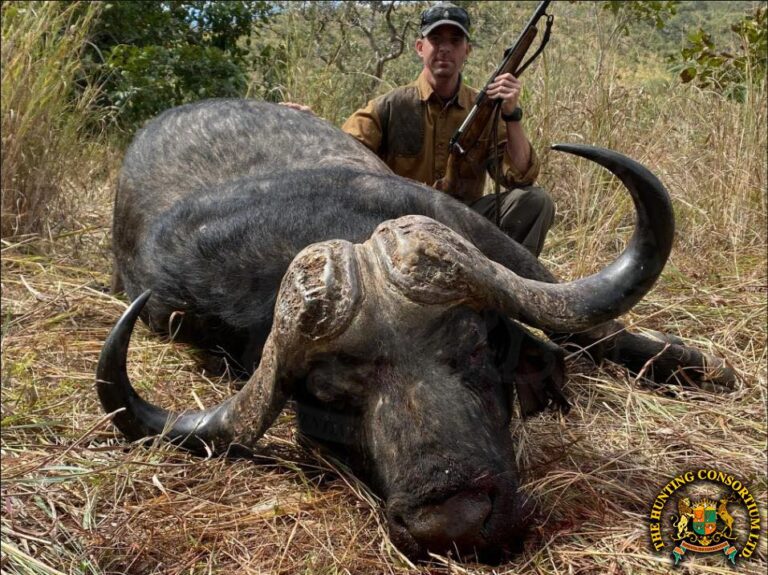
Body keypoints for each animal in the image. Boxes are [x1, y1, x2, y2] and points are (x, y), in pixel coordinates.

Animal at [97, 98, 733, 562]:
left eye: (474, 347)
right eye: (331, 394)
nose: (454, 523)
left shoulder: (485, 239)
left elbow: (595, 327)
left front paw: (699, 366)